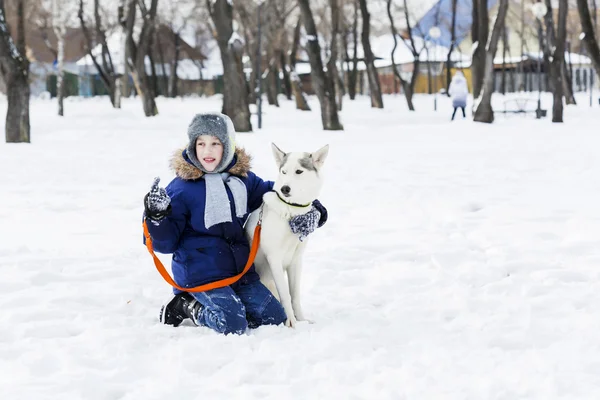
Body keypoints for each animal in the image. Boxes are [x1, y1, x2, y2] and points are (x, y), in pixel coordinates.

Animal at [244, 144, 328, 328]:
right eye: (283, 171)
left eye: (298, 171)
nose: (284, 189)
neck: (292, 212)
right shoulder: (274, 258)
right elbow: (286, 295)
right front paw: (291, 322)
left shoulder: (296, 260)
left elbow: (295, 295)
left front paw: (301, 319)